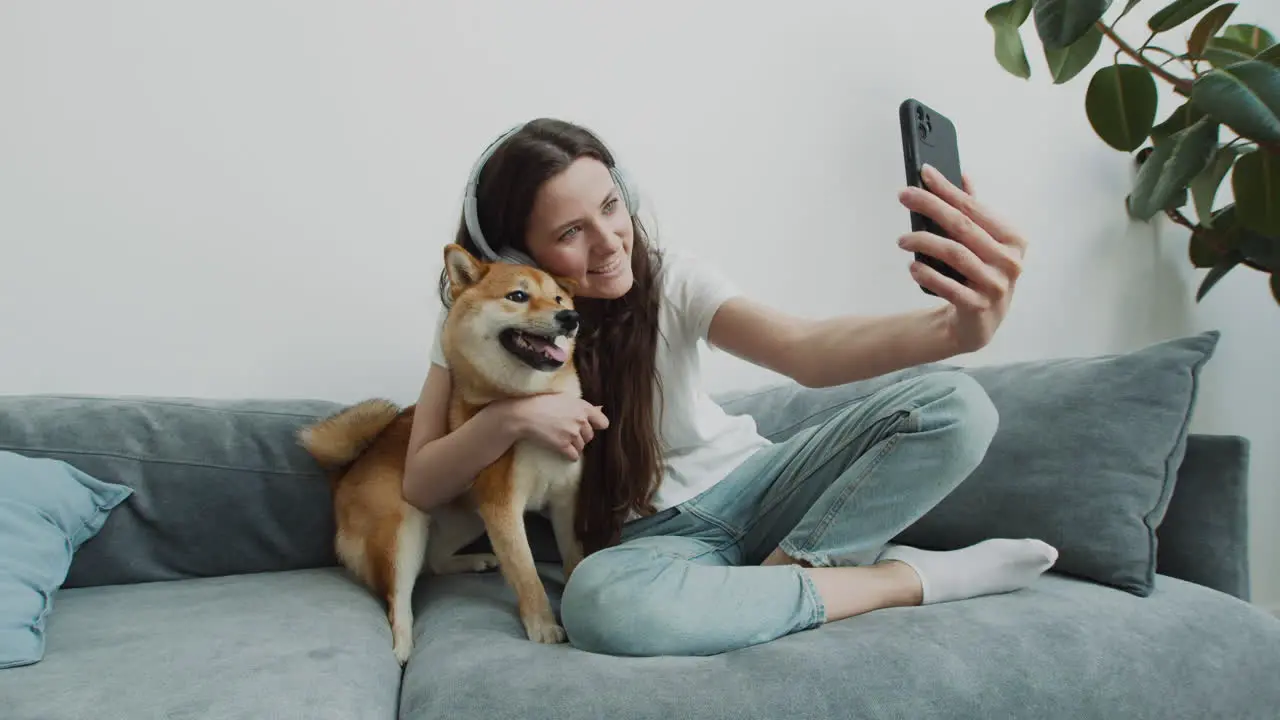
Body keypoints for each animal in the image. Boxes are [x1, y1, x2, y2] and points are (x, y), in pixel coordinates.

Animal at [299, 242, 586, 661]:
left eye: (559, 298)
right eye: (518, 296)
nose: (570, 317)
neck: (536, 398)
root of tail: (345, 473)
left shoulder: (564, 500)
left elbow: (573, 553)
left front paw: (575, 579)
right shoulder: (502, 506)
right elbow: (526, 573)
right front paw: (544, 625)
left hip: (467, 517)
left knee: (433, 563)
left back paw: (474, 560)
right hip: (404, 527)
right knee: (397, 598)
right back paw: (403, 645)